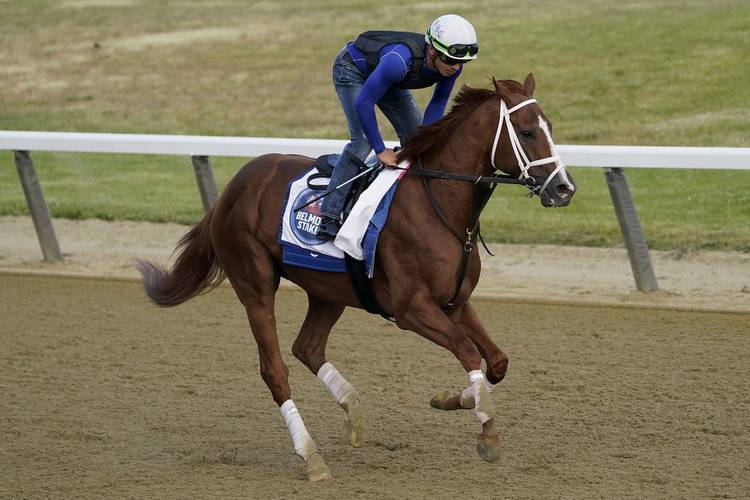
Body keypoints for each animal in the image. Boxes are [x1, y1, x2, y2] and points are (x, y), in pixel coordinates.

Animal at [138, 73, 580, 480]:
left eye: (550, 127)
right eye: (527, 131)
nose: (564, 188)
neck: (440, 205)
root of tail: (233, 188)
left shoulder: (455, 302)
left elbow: (497, 363)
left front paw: (454, 399)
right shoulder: (411, 309)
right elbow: (469, 353)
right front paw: (487, 435)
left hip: (329, 290)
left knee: (307, 348)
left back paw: (352, 413)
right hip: (255, 284)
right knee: (275, 370)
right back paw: (310, 455)